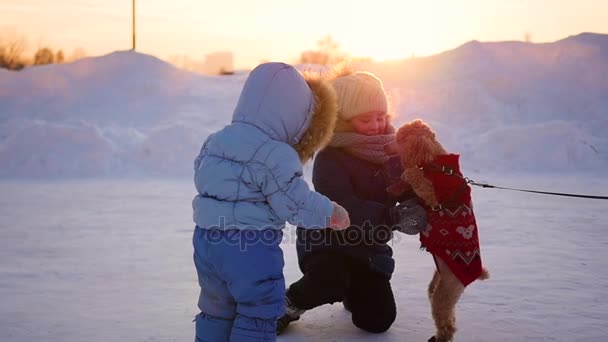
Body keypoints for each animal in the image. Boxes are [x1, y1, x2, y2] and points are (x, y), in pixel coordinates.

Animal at [384, 119, 490, 342]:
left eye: (399, 139)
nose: (385, 148)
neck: (438, 166)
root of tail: (476, 273)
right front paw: (395, 187)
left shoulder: (433, 198)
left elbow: (415, 176)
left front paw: (408, 174)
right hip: (439, 279)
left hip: (446, 292)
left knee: (446, 320)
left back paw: (440, 337)